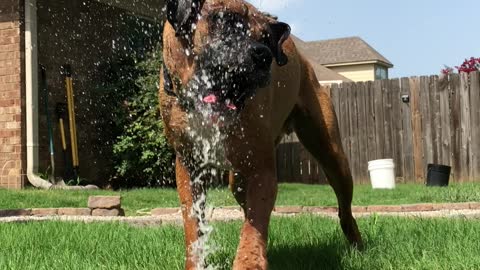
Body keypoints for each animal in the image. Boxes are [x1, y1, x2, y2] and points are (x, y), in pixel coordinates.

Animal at [159, 1, 362, 268]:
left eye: (266, 38)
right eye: (225, 21)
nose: (263, 55)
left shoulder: (261, 170)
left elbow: (254, 225)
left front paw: (249, 262)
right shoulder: (189, 169)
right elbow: (194, 225)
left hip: (333, 157)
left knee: (344, 207)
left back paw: (356, 240)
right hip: (238, 181)